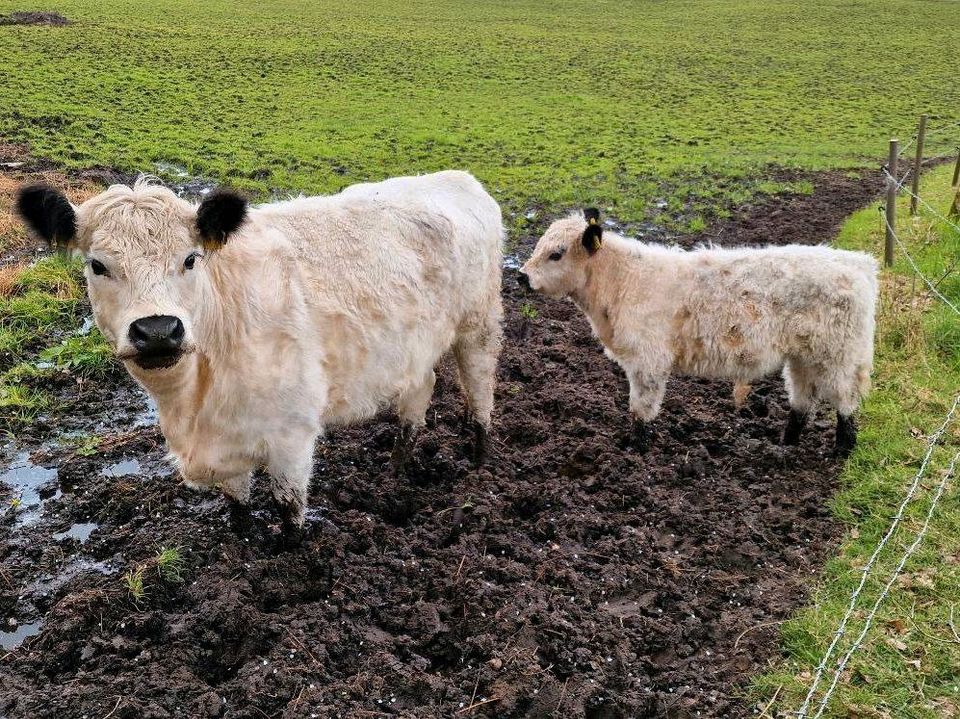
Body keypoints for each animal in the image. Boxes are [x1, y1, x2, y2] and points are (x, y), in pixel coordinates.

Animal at [16, 172, 502, 524]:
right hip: (414, 351)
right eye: (97, 265)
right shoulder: (225, 446)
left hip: (479, 326)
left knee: (480, 393)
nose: (156, 330)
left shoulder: (293, 435)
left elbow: (289, 513)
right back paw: (398, 469)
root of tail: (457, 178)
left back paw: (481, 464)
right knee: (420, 392)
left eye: (190, 259)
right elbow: (238, 509)